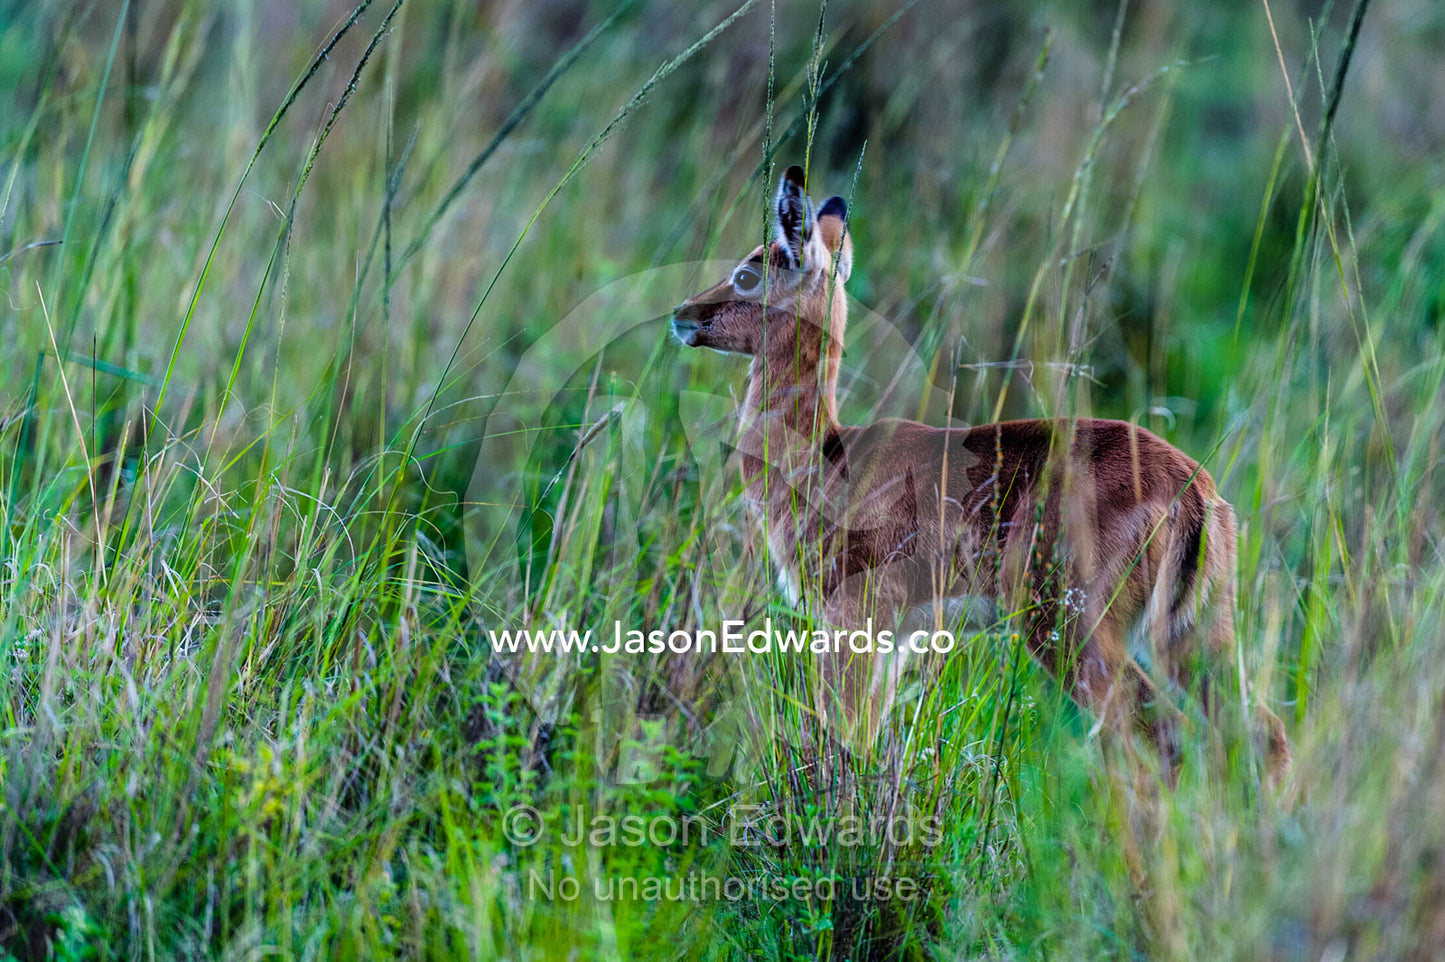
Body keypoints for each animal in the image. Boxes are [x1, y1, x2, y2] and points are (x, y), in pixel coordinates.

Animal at [670, 164, 1290, 784]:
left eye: (748, 273)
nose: (683, 316)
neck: (824, 454)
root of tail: (1194, 490)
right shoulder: (897, 636)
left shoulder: (851, 618)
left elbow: (841, 734)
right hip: (1192, 633)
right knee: (1259, 733)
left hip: (1072, 629)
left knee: (1156, 735)